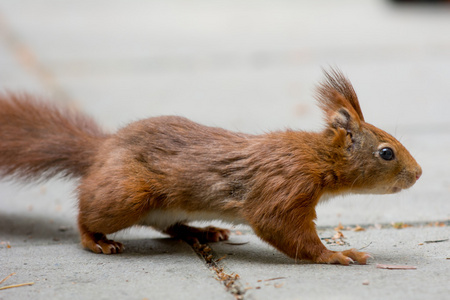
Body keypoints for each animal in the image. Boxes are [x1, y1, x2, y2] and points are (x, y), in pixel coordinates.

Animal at [0, 69, 422, 264]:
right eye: (386, 153)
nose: (418, 174)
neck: (315, 157)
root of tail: (101, 151)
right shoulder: (284, 184)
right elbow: (279, 226)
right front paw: (336, 255)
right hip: (128, 194)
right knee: (88, 212)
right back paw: (97, 240)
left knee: (168, 226)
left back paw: (203, 230)